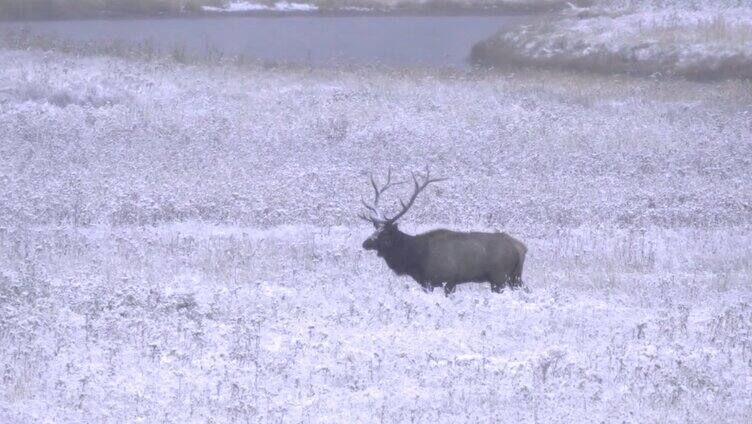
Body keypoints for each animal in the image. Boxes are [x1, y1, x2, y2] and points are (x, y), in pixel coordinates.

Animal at [360, 168, 528, 294]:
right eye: (376, 229)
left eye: (384, 234)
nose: (365, 243)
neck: (416, 259)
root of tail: (521, 248)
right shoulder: (426, 282)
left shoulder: (449, 280)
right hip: (515, 277)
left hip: (499, 277)